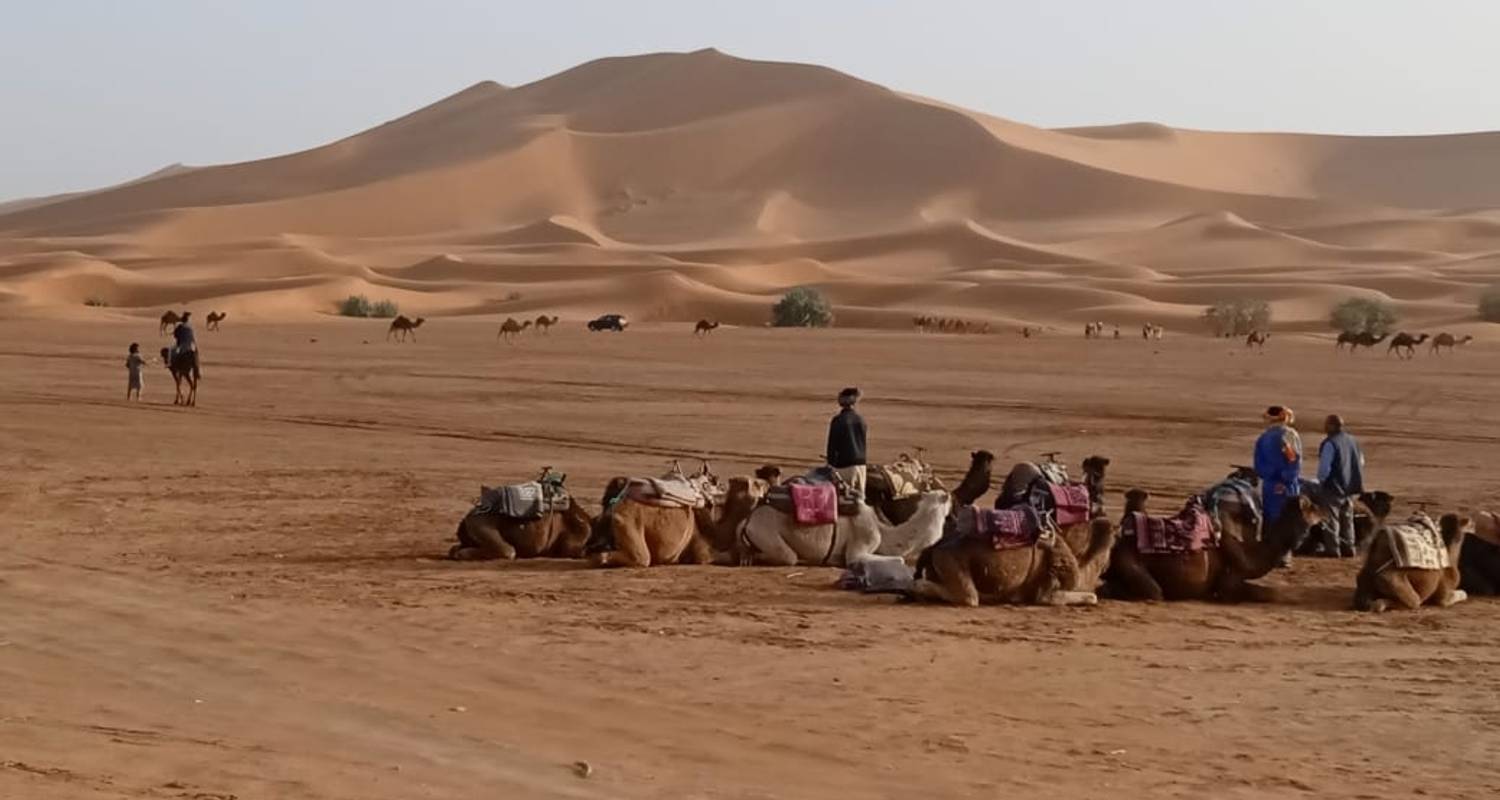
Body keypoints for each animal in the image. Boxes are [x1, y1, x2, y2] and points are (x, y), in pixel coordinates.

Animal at [738, 486, 948, 567]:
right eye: (946, 500)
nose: (949, 495)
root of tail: (748, 519)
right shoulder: (863, 540)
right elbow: (899, 559)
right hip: (766, 533)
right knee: (788, 557)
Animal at [1104, 486, 1326, 606]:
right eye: (1312, 507)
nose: (1323, 511)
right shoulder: (1229, 581)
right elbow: (1262, 592)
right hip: (1131, 563)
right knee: (1154, 592)